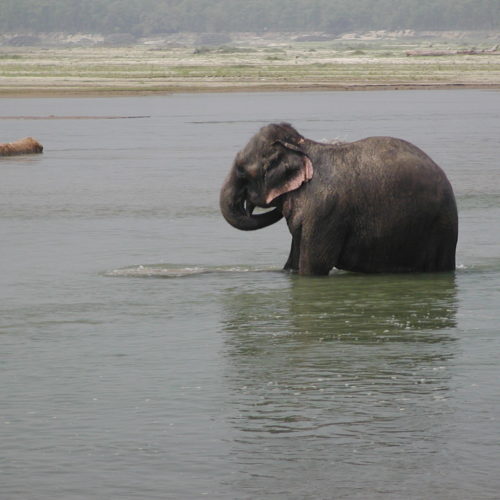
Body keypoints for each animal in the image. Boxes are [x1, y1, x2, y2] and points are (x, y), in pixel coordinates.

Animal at [219, 123, 458, 276]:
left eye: (242, 171)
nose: (249, 205)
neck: (302, 145)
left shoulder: (325, 210)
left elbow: (314, 266)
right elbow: (294, 260)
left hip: (440, 227)